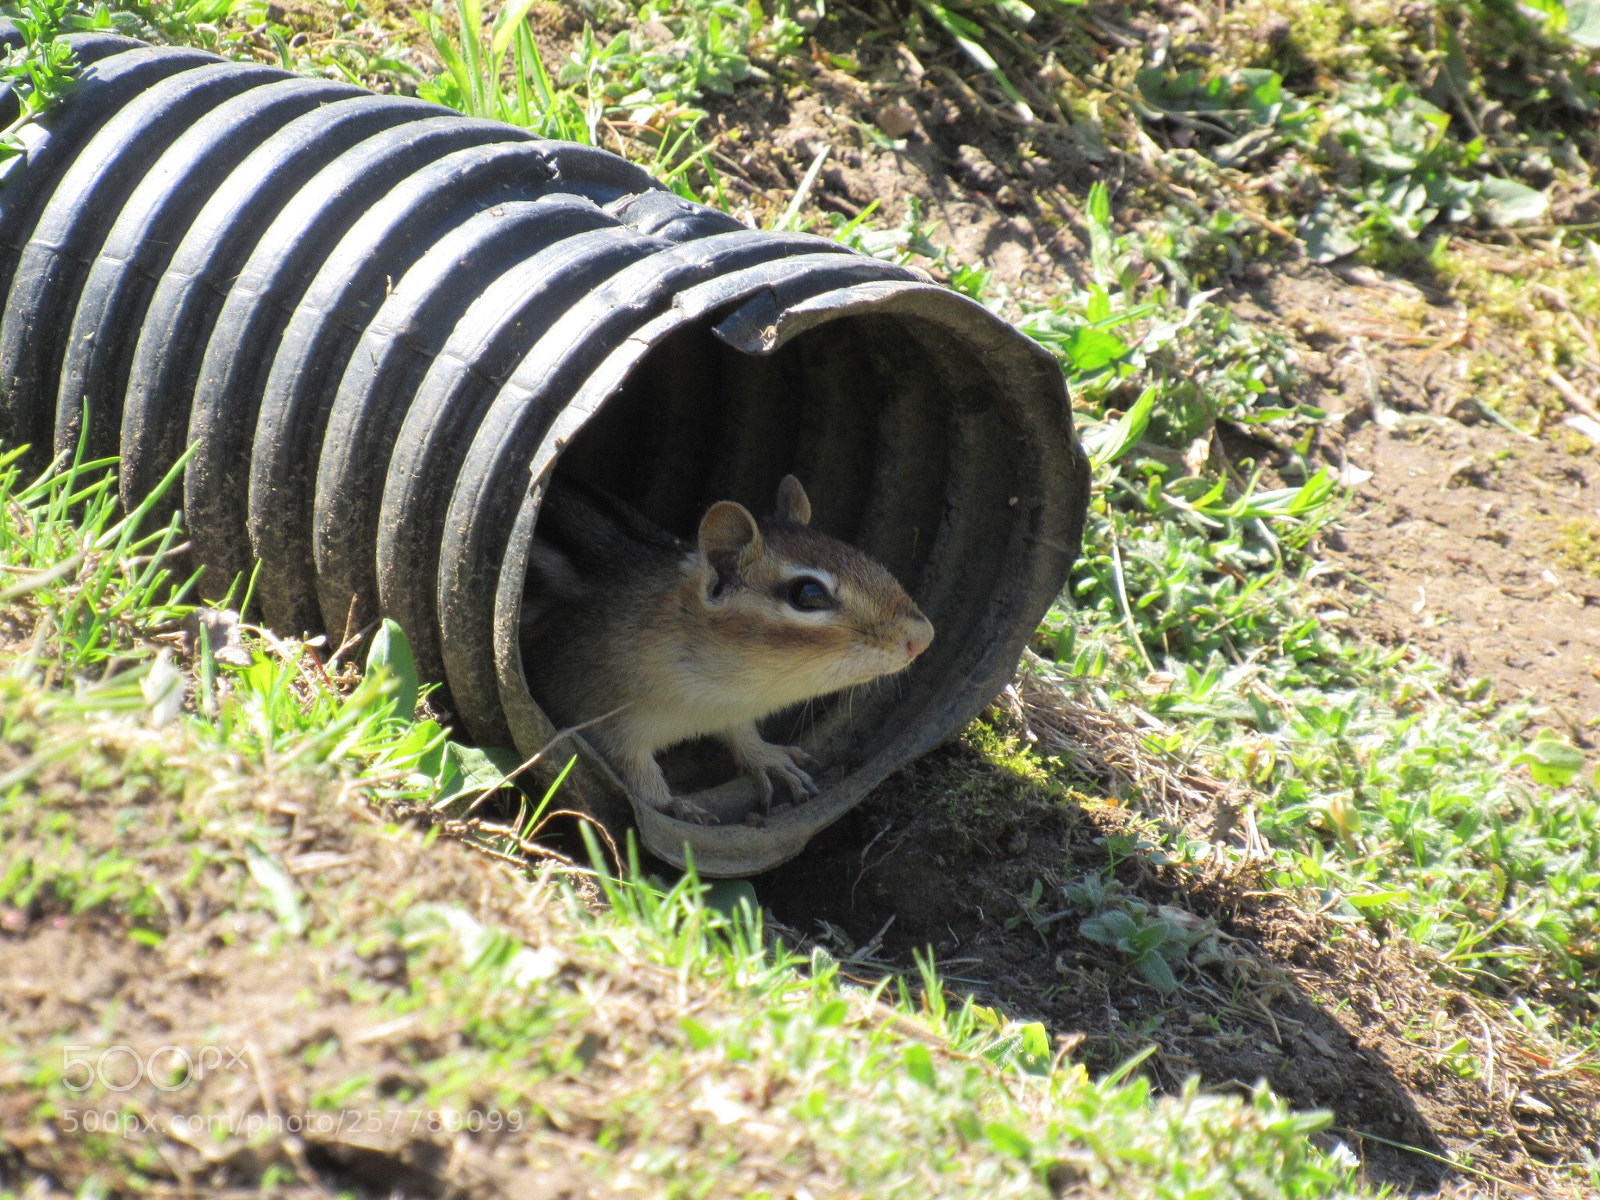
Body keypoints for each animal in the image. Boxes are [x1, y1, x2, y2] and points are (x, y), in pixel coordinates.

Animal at [520, 473, 935, 824]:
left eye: (863, 557)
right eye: (808, 593)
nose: (923, 637)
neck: (713, 691)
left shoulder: (729, 709)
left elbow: (740, 732)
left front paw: (766, 757)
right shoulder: (595, 711)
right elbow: (634, 773)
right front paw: (673, 805)